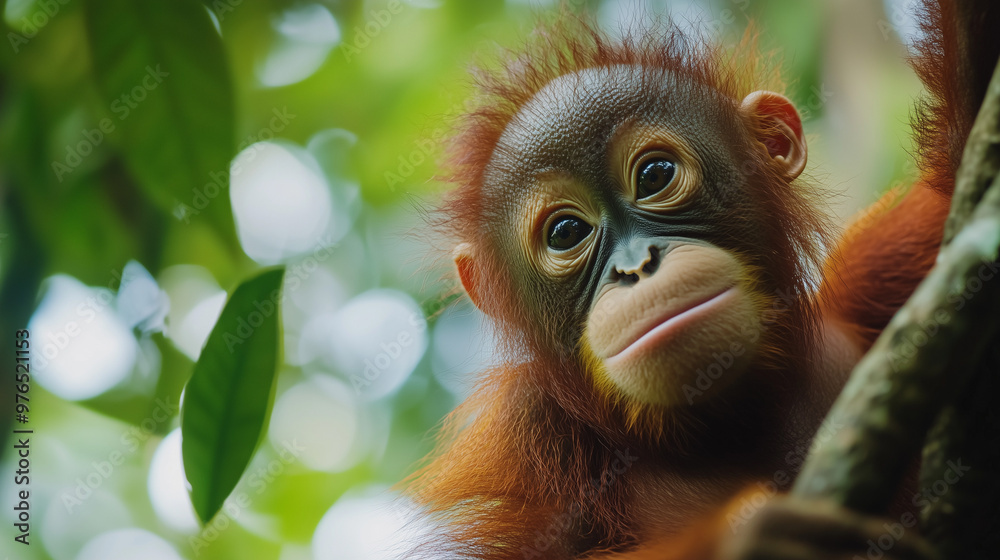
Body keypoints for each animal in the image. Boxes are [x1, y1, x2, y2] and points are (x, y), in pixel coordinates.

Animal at [404, 1, 1000, 558]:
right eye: (566, 232)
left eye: (655, 175)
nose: (636, 266)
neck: (731, 418)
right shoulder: (525, 440)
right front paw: (750, 533)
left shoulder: (875, 280)